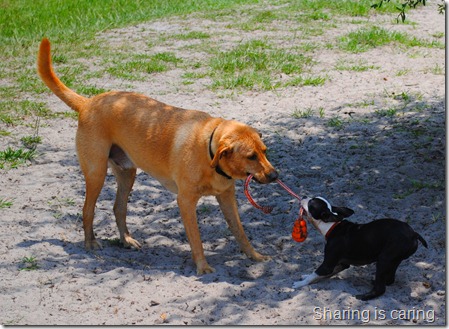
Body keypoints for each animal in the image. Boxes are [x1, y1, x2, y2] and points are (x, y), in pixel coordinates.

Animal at [38, 38, 278, 272]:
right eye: (251, 156)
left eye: (264, 151)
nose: (276, 176)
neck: (209, 150)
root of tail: (88, 103)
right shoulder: (185, 201)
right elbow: (196, 239)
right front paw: (202, 267)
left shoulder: (227, 197)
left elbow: (240, 232)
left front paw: (255, 256)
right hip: (96, 173)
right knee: (87, 210)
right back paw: (90, 243)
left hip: (127, 174)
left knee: (119, 208)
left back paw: (126, 240)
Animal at [290, 195, 428, 300]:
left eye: (311, 203)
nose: (304, 197)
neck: (331, 226)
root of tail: (413, 233)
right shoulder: (342, 264)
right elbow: (318, 275)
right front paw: (305, 276)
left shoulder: (327, 265)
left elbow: (316, 273)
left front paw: (300, 283)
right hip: (393, 260)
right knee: (390, 278)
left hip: (384, 259)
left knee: (381, 288)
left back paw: (364, 296)